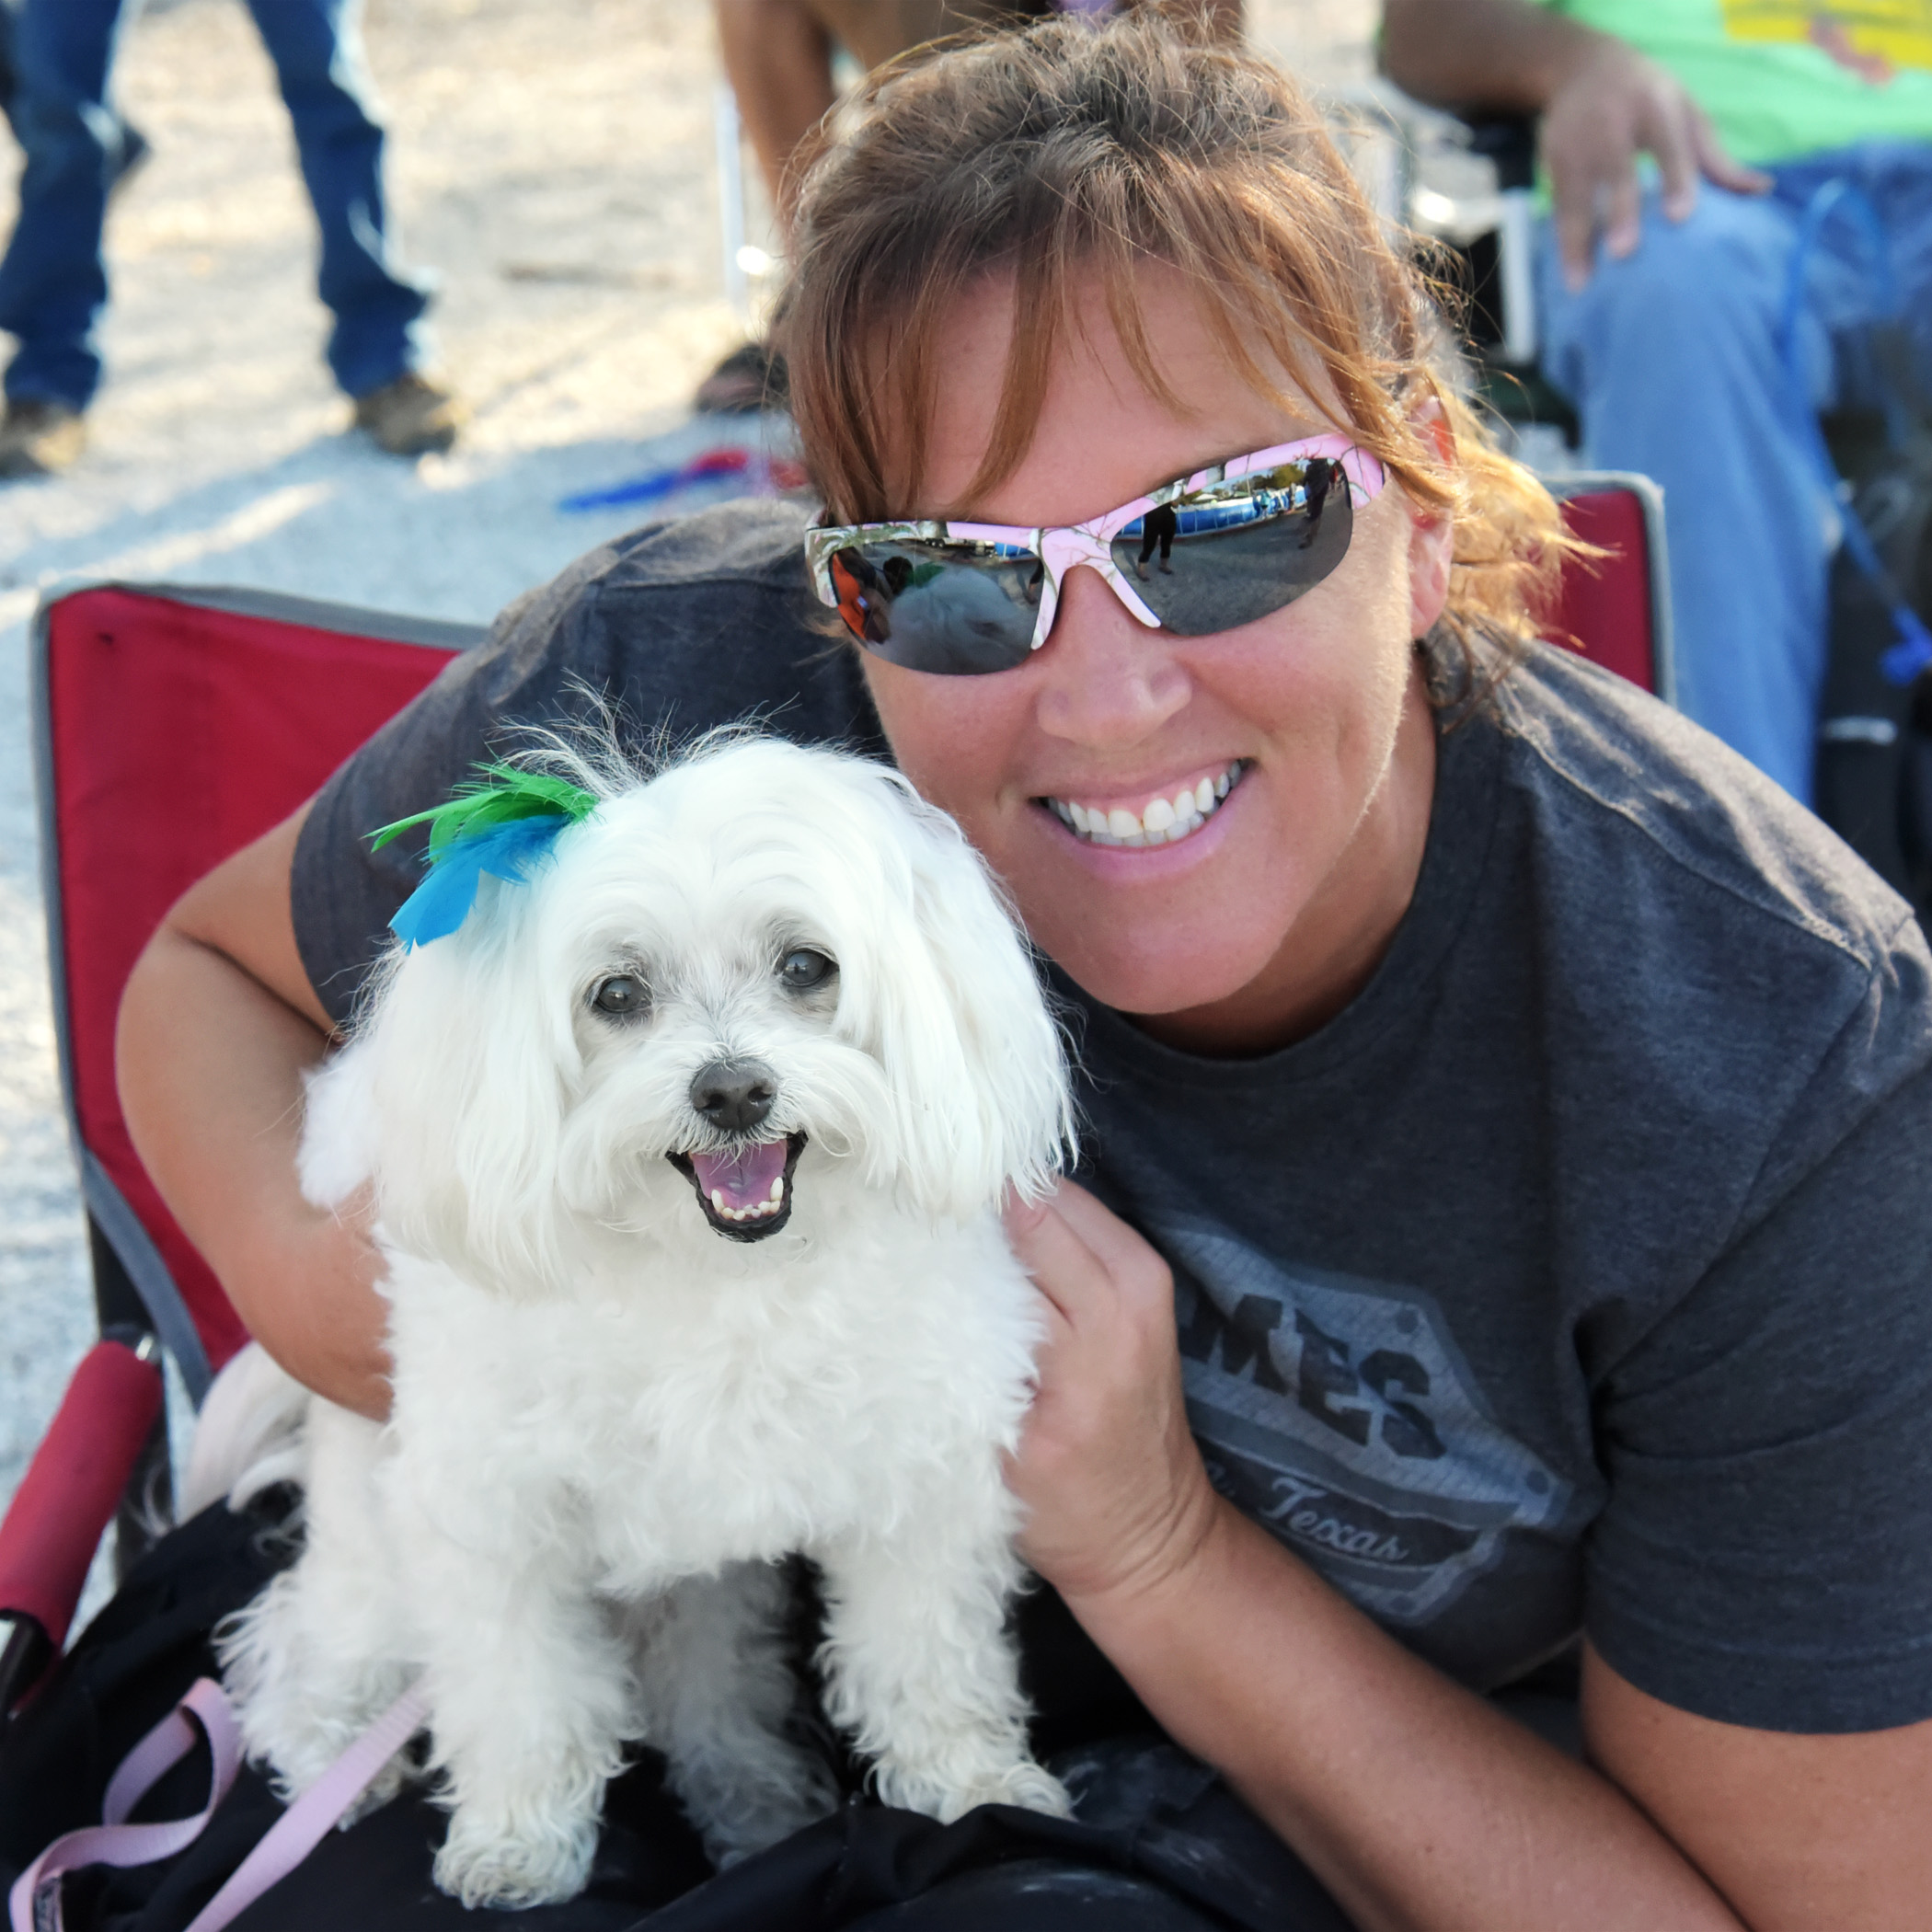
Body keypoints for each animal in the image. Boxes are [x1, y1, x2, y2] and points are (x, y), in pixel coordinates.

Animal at [222, 730, 1089, 1908]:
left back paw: (759, 1809)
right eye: (617, 992)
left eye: (806, 967)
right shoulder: (487, 1520)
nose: (733, 1092)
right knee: (302, 1644)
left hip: (702, 1586)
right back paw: (331, 1763)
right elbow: (518, 1691)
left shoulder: (919, 1481)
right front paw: (517, 1842)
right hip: (373, 1543)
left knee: (707, 1699)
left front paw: (972, 1790)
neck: (722, 1279)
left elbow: (926, 1657)